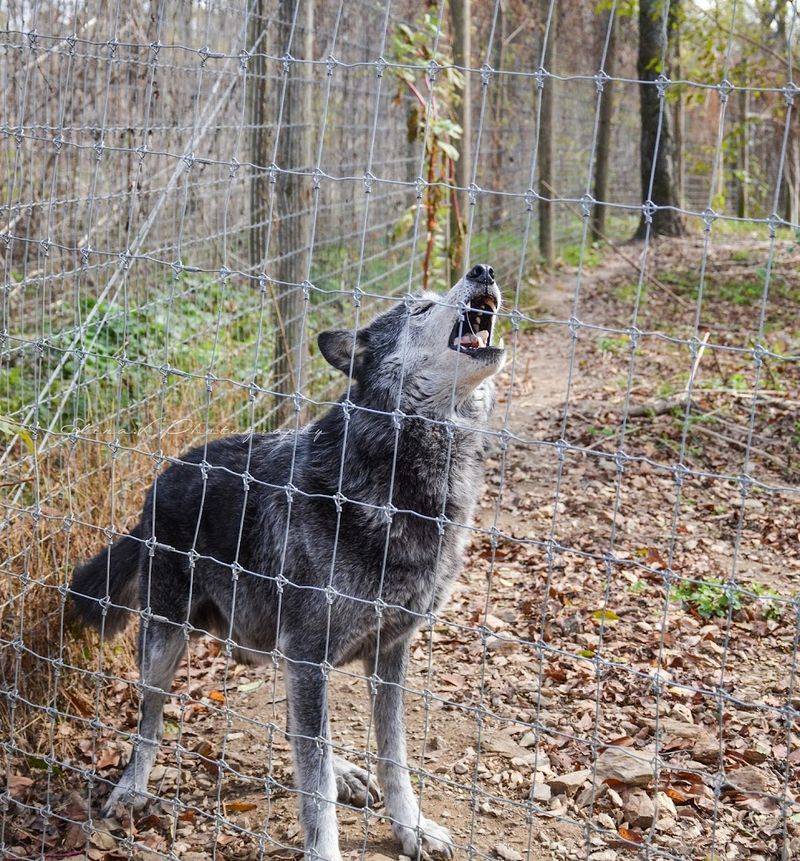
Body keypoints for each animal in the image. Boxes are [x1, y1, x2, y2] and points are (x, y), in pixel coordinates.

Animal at [70, 263, 504, 861]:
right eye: (419, 309)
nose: (483, 270)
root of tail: (160, 481)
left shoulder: (387, 653)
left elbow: (391, 756)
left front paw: (412, 827)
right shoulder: (309, 655)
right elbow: (313, 785)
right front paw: (328, 845)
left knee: (298, 729)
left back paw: (347, 773)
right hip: (166, 644)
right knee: (150, 719)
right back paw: (132, 788)